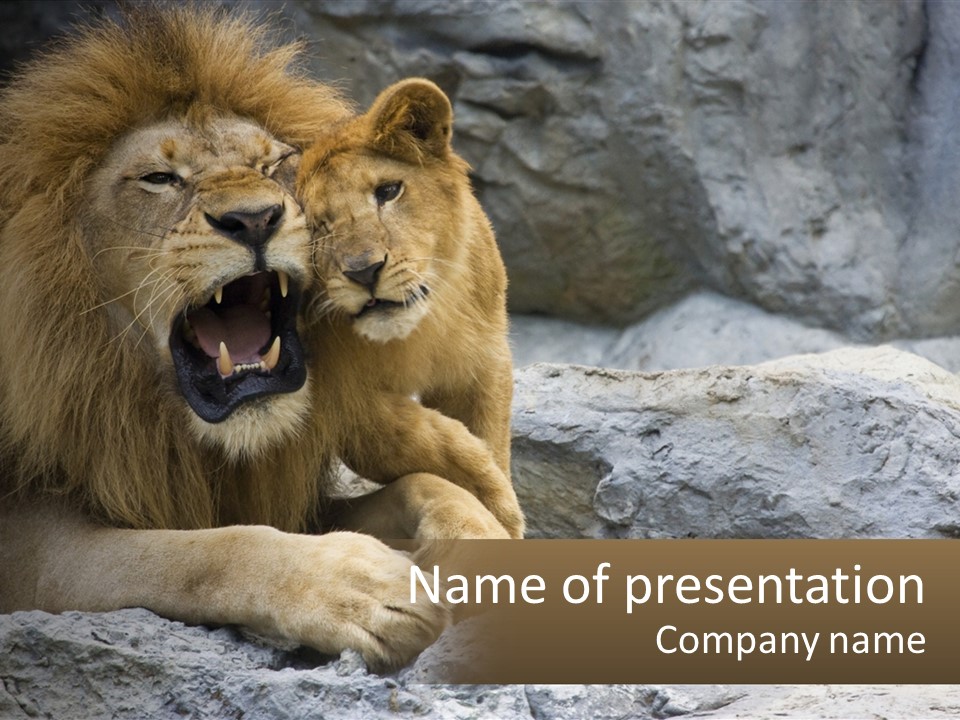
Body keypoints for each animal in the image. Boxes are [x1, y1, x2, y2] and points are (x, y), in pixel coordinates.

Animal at [297, 79, 524, 539]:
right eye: (315, 225)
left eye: (387, 192)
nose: (364, 271)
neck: (412, 334)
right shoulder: (333, 394)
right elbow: (403, 438)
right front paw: (492, 495)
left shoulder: (484, 361)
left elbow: (490, 432)